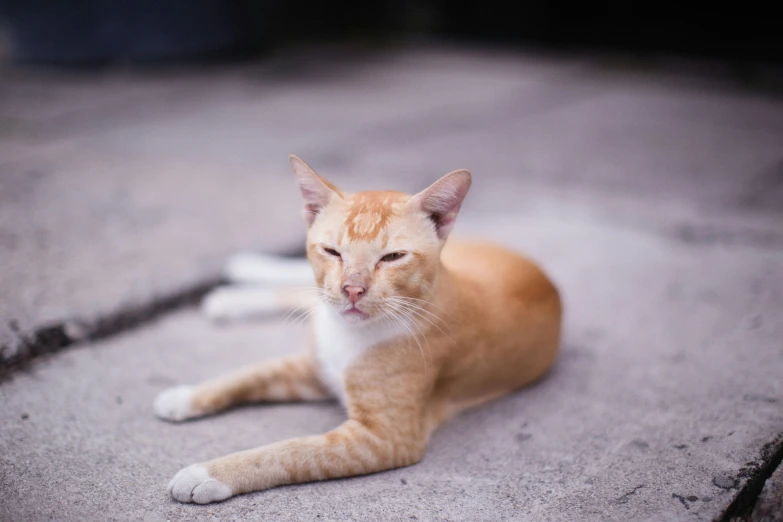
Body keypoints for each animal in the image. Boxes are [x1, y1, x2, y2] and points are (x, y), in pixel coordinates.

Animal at [153, 155, 560, 504]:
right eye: (332, 252)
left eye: (392, 257)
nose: (352, 289)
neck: (348, 334)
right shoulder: (312, 366)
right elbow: (247, 374)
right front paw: (186, 396)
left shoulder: (382, 438)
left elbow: (289, 451)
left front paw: (210, 473)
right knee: (296, 287)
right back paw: (244, 271)